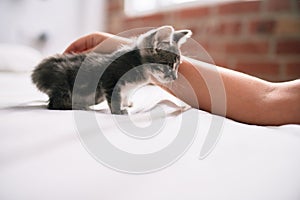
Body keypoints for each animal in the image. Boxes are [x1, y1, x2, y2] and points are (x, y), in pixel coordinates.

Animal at [31, 25, 191, 115]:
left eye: (178, 65)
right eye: (169, 65)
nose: (175, 77)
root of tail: (38, 70)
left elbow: (126, 94)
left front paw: (127, 103)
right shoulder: (110, 77)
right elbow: (115, 96)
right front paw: (118, 111)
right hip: (62, 83)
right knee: (55, 104)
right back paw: (79, 107)